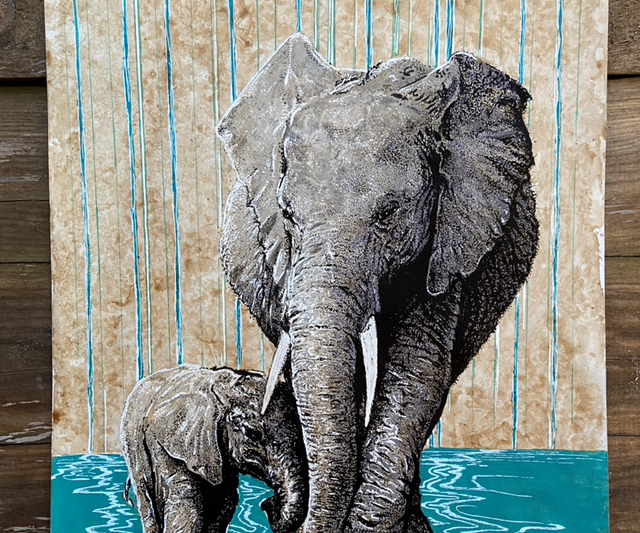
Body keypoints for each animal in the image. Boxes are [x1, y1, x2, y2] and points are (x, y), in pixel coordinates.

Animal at [119, 365, 308, 533]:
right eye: (252, 433)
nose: (266, 503)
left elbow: (224, 505)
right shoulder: (168, 444)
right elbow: (188, 506)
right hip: (131, 441)